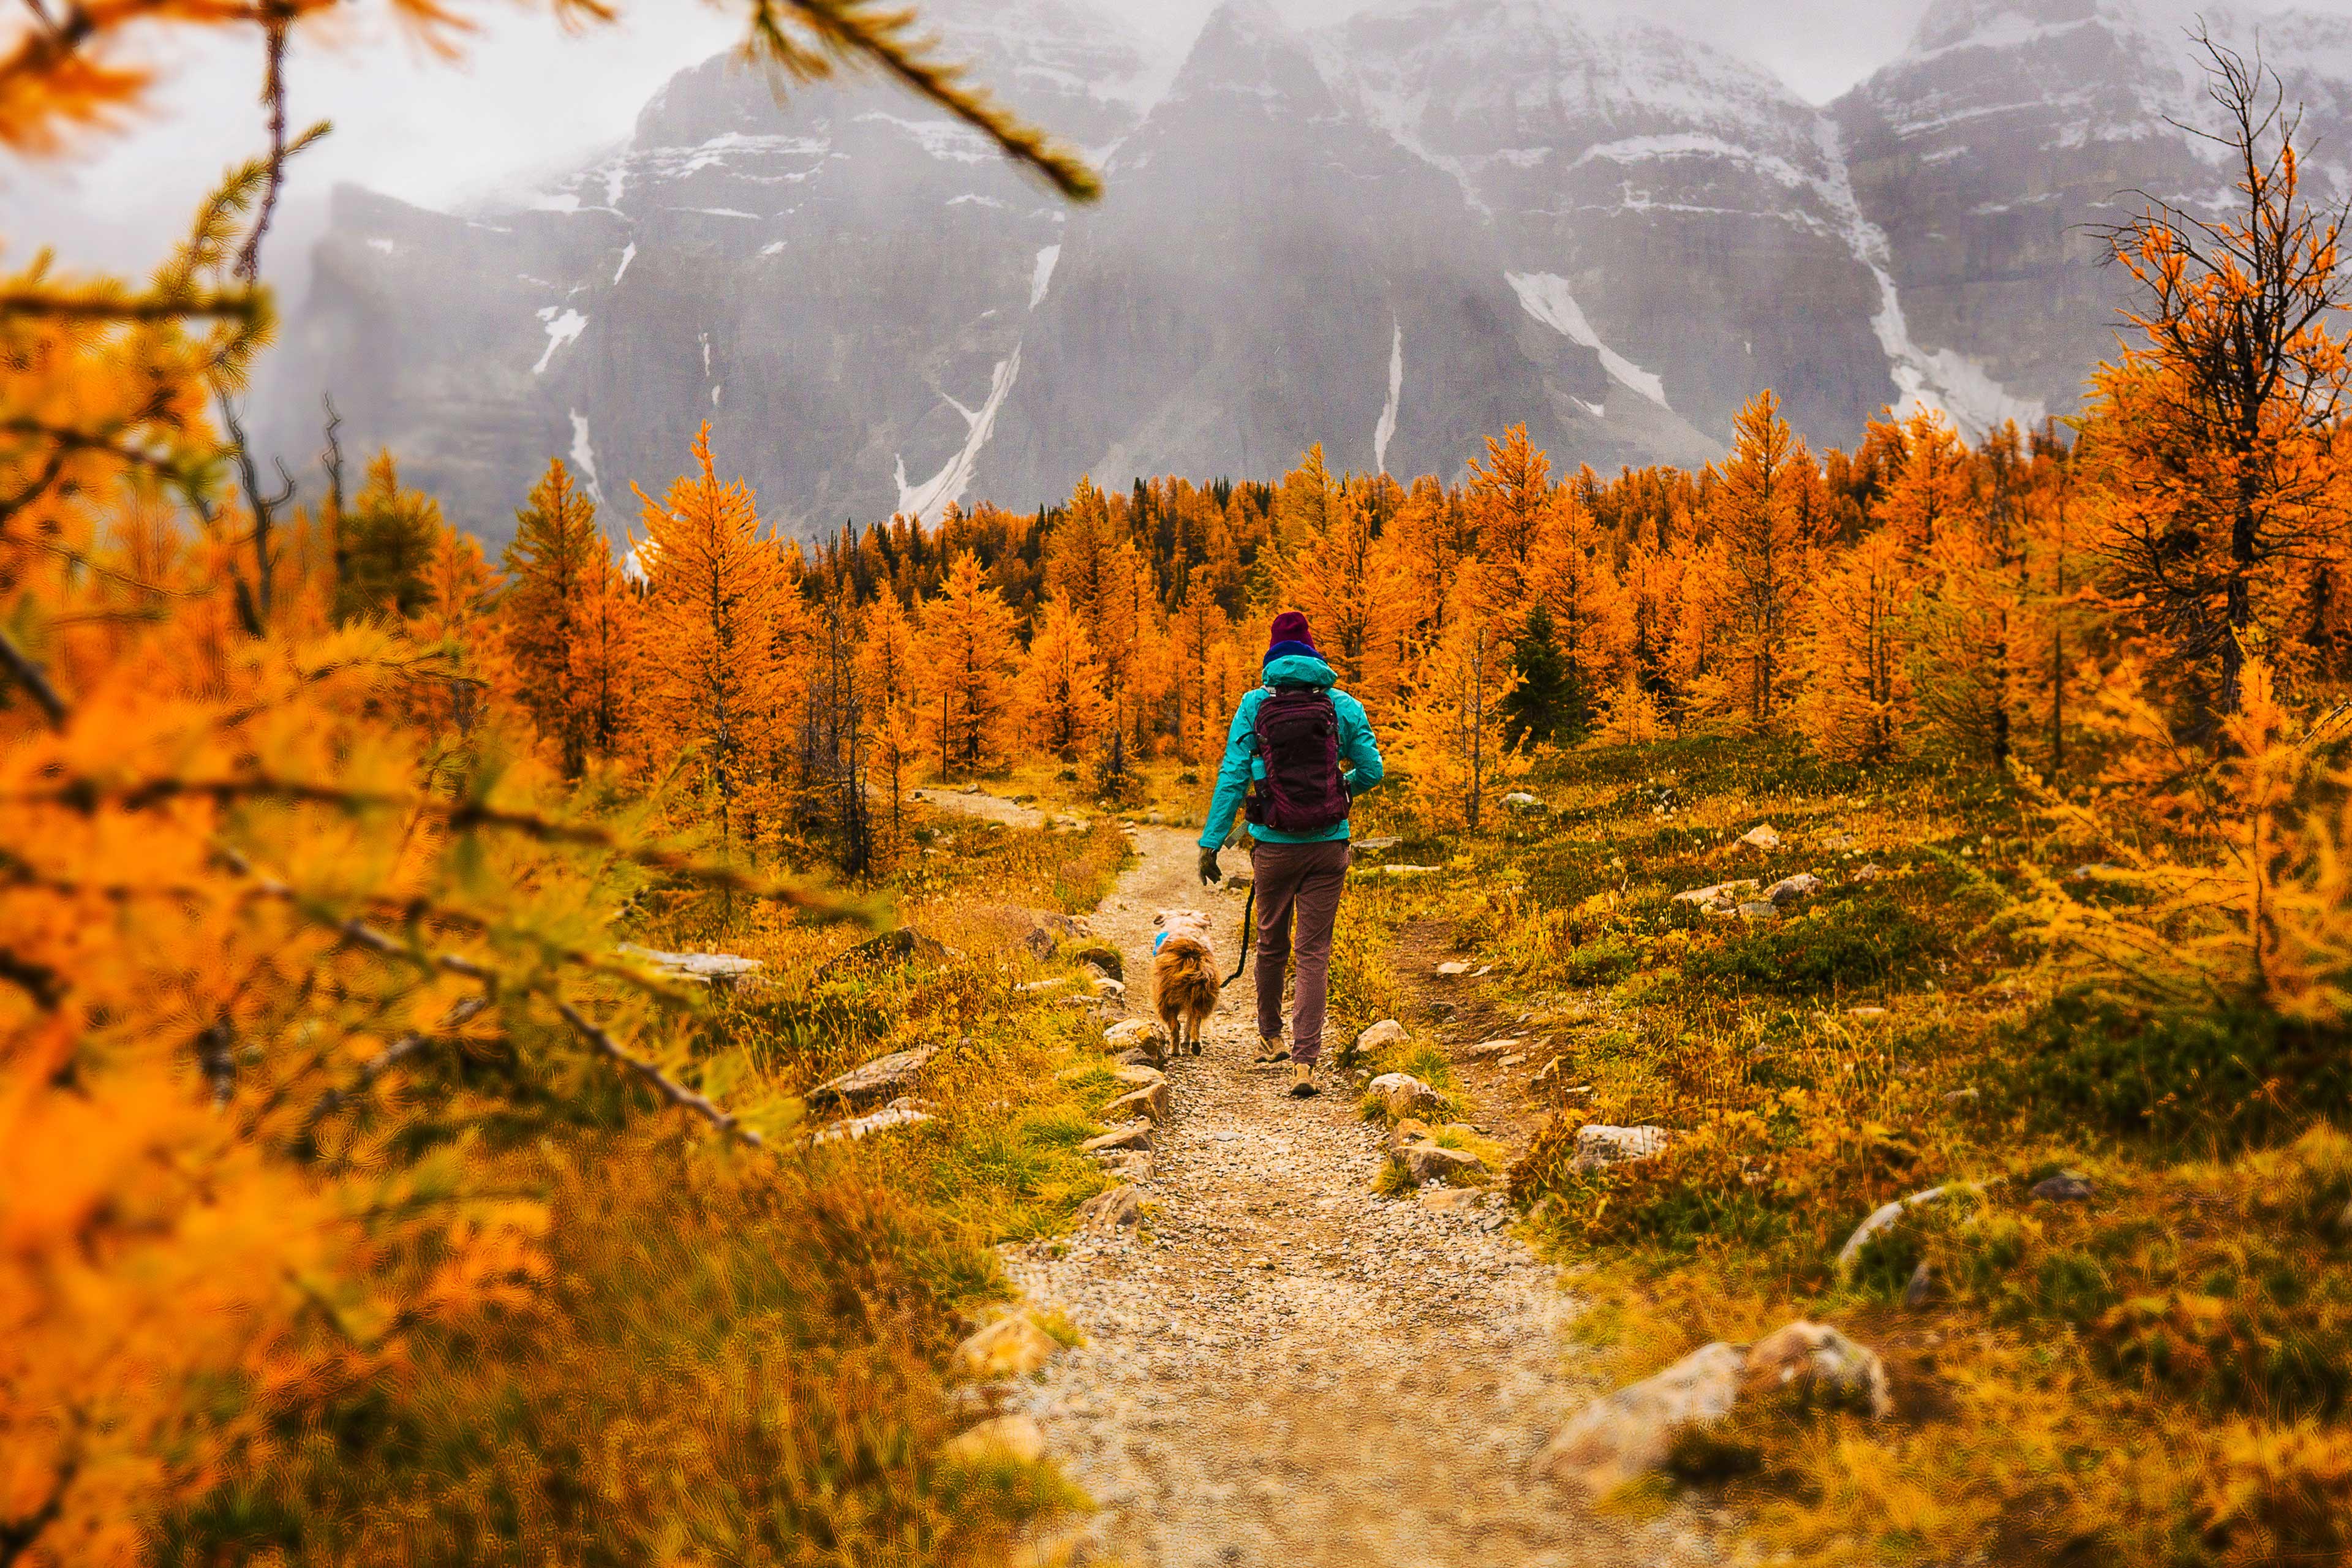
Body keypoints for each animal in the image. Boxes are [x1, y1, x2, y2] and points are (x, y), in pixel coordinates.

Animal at [1152, 907, 1223, 1053]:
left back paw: (1175, 1051)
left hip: (1165, 1000)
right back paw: (1196, 1046)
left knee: (1175, 1026)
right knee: (1196, 1019)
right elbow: (1189, 1022)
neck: (1183, 926)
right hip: (1202, 996)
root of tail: (1191, 957)